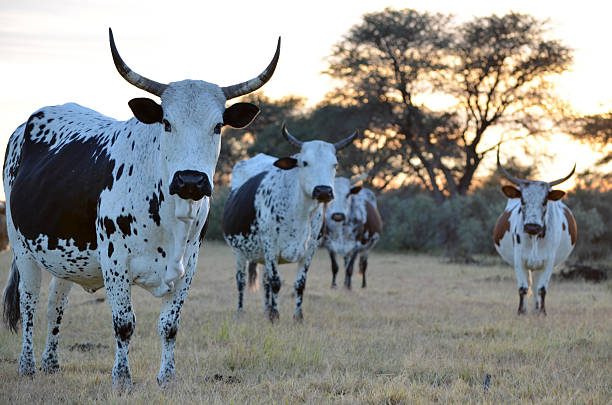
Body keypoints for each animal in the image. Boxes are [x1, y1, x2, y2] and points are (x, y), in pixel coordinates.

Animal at [0, 28, 280, 388]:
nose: (191, 179)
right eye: (166, 123)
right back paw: (28, 364)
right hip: (22, 247)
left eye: (218, 126)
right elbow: (124, 323)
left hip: (63, 254)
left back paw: (51, 362)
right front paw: (122, 379)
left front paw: (167, 378)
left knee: (55, 304)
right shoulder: (115, 263)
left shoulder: (189, 266)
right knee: (29, 302)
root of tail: (27, 124)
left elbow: (170, 326)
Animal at [221, 123, 356, 322]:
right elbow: (276, 282)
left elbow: (299, 284)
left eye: (335, 164)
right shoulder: (270, 246)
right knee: (241, 281)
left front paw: (297, 317)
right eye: (304, 162)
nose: (323, 191)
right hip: (239, 252)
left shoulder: (310, 249)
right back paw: (241, 311)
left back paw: (266, 309)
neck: (299, 214)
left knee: (265, 281)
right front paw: (275, 316)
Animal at [492, 150, 580, 314]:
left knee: (536, 287)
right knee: (530, 286)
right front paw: (521, 312)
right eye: (522, 200)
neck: (534, 238)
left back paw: (536, 309)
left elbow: (542, 289)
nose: (532, 227)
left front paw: (542, 313)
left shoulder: (549, 262)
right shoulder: (519, 260)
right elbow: (522, 288)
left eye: (545, 201)